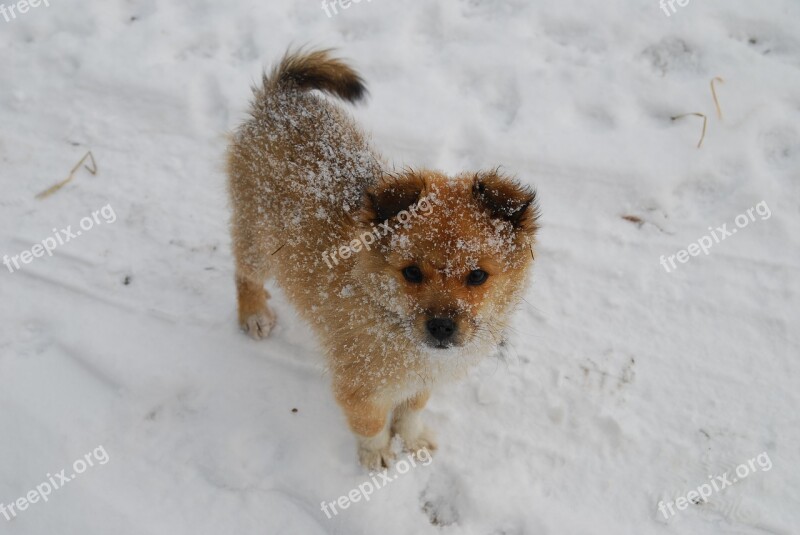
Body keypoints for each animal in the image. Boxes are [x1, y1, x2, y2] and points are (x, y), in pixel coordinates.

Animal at [227, 49, 536, 468]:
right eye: (411, 272)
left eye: (477, 276)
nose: (441, 328)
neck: (388, 314)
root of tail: (280, 101)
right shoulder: (359, 385)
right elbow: (370, 423)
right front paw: (378, 456)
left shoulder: (422, 381)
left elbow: (411, 410)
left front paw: (413, 438)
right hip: (256, 235)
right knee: (245, 274)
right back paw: (255, 315)